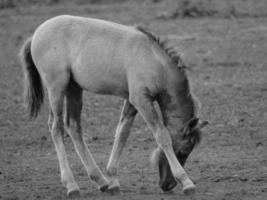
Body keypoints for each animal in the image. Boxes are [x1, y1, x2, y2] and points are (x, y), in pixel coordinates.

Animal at [20, 15, 209, 197]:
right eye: (184, 150)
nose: (167, 185)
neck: (154, 60)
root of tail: (35, 35)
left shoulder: (132, 101)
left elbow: (122, 133)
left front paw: (113, 180)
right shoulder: (141, 100)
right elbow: (162, 136)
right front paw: (186, 182)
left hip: (74, 88)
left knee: (73, 126)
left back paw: (101, 181)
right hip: (56, 88)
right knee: (56, 127)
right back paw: (71, 185)